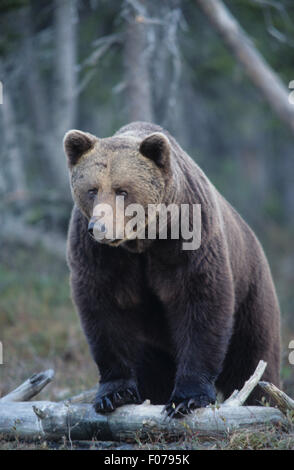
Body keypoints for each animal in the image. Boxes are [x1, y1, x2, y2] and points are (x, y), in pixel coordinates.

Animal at [63, 122, 280, 418]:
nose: (100, 228)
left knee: (253, 360)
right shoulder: (101, 257)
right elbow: (105, 311)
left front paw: (187, 399)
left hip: (252, 295)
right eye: (92, 190)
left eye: (122, 190)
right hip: (153, 345)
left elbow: (200, 303)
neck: (143, 241)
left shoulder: (187, 239)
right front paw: (115, 393)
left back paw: (263, 399)